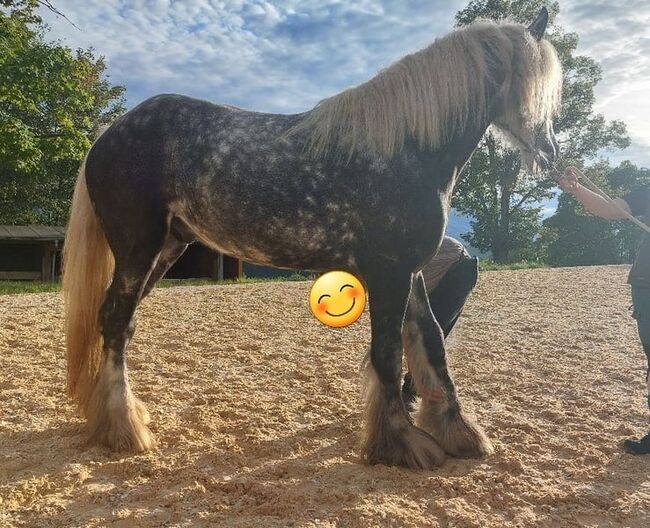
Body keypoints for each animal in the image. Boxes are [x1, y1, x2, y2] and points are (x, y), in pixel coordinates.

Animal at [67, 9, 560, 470]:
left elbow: (431, 344)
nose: (551, 152)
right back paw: (124, 429)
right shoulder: (389, 273)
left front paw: (459, 432)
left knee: (117, 322)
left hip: (167, 249)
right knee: (116, 322)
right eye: (531, 85)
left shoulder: (412, 272)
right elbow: (387, 354)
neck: (406, 149)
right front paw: (399, 445)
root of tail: (107, 135)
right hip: (138, 250)